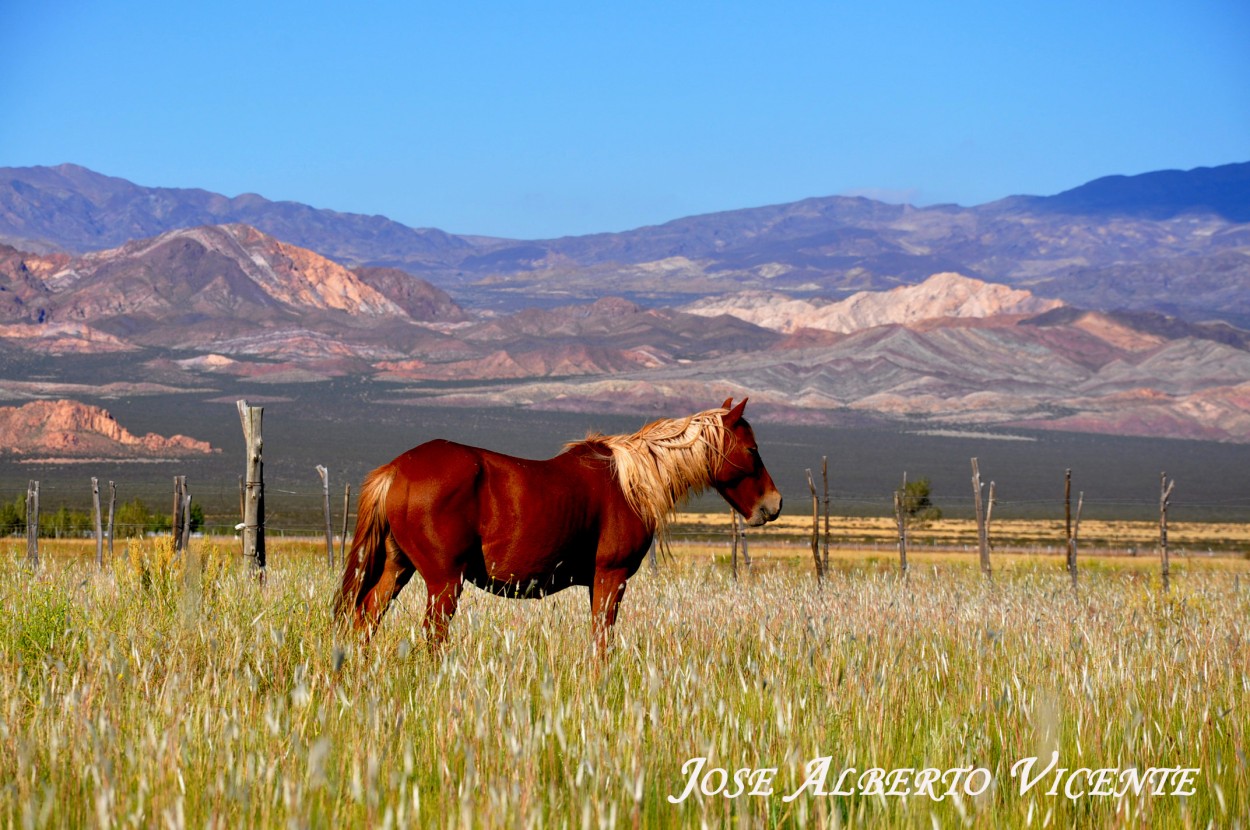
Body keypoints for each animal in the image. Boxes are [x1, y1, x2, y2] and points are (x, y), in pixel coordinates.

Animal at [332, 400, 780, 650]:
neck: (628, 482)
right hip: (444, 582)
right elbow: (602, 642)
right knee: (431, 637)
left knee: (365, 620)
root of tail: (396, 470)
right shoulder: (611, 577)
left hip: (397, 569)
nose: (773, 505)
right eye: (752, 449)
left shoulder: (599, 583)